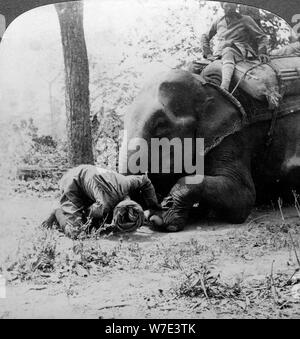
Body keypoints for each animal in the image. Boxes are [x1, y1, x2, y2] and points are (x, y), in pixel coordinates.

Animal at [119, 69, 300, 234]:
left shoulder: (233, 136)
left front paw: (160, 220)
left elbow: (244, 196)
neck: (208, 86)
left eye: (160, 126)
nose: (157, 207)